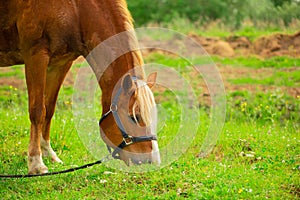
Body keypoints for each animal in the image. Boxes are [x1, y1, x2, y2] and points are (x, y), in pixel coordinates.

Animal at [0, 0, 161, 174]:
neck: (76, 9)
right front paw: (36, 163)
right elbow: (37, 111)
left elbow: (49, 109)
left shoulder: (60, 64)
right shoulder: (35, 56)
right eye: (135, 117)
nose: (152, 161)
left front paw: (48, 153)